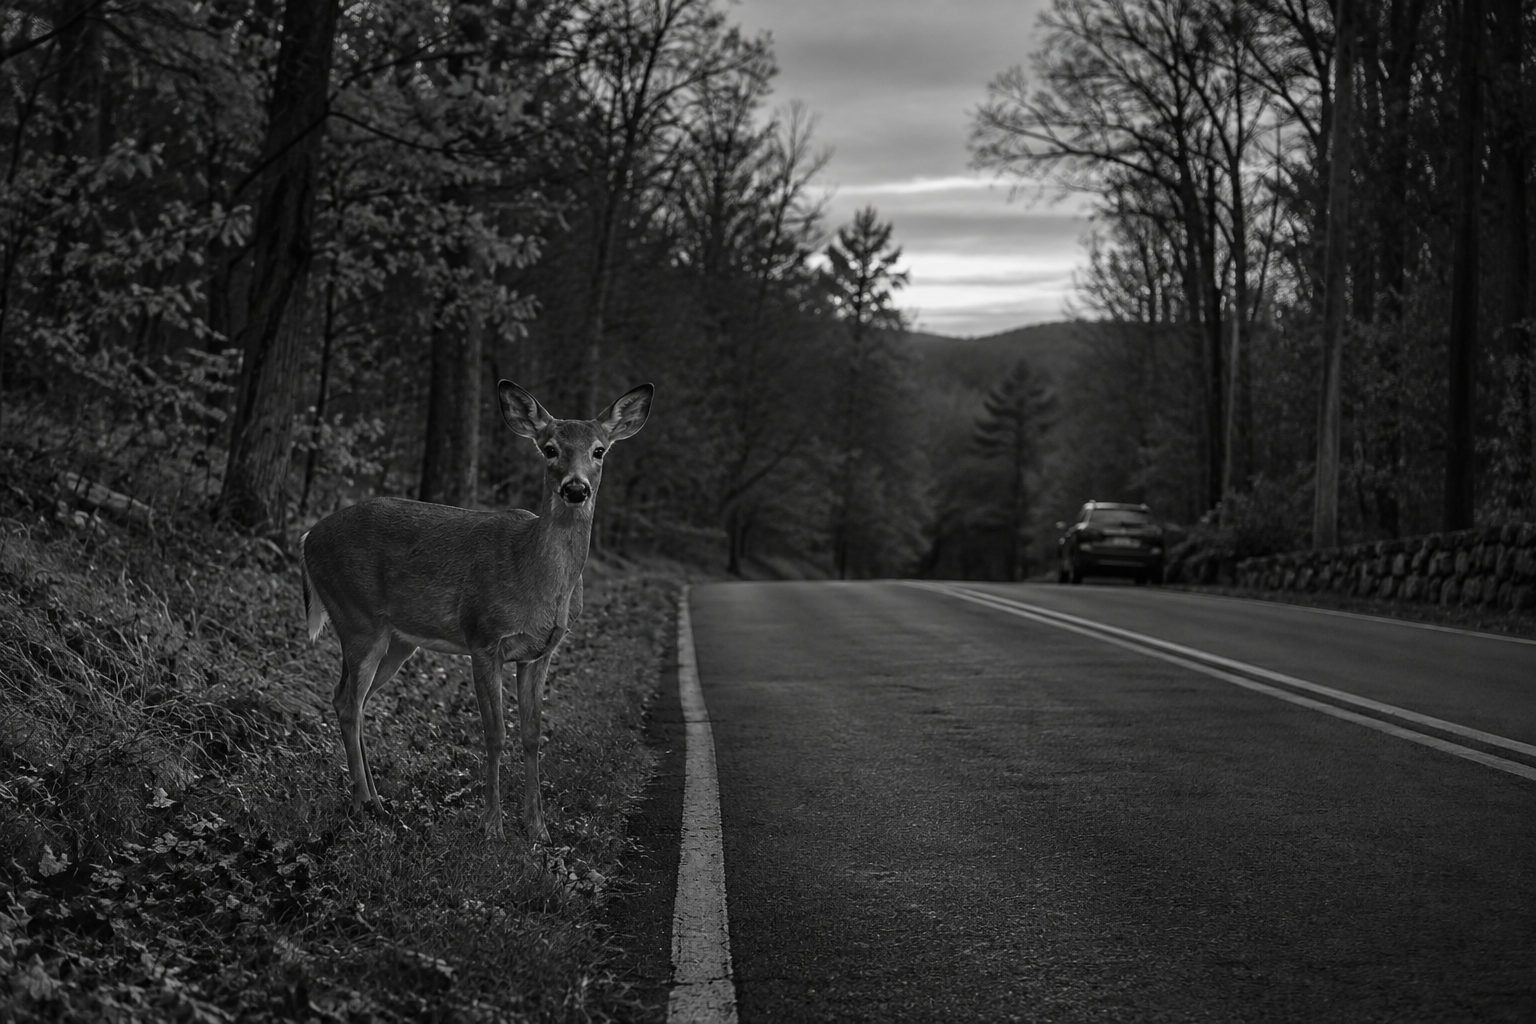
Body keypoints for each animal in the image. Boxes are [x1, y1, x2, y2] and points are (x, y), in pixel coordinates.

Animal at [299, 381, 654, 843]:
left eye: (599, 450)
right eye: (550, 449)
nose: (575, 489)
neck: (536, 577)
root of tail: (307, 537)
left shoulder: (541, 653)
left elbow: (532, 735)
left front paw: (538, 829)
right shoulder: (484, 638)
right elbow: (495, 734)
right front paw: (493, 827)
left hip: (396, 641)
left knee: (355, 702)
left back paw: (378, 802)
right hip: (357, 618)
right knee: (346, 702)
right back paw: (363, 805)